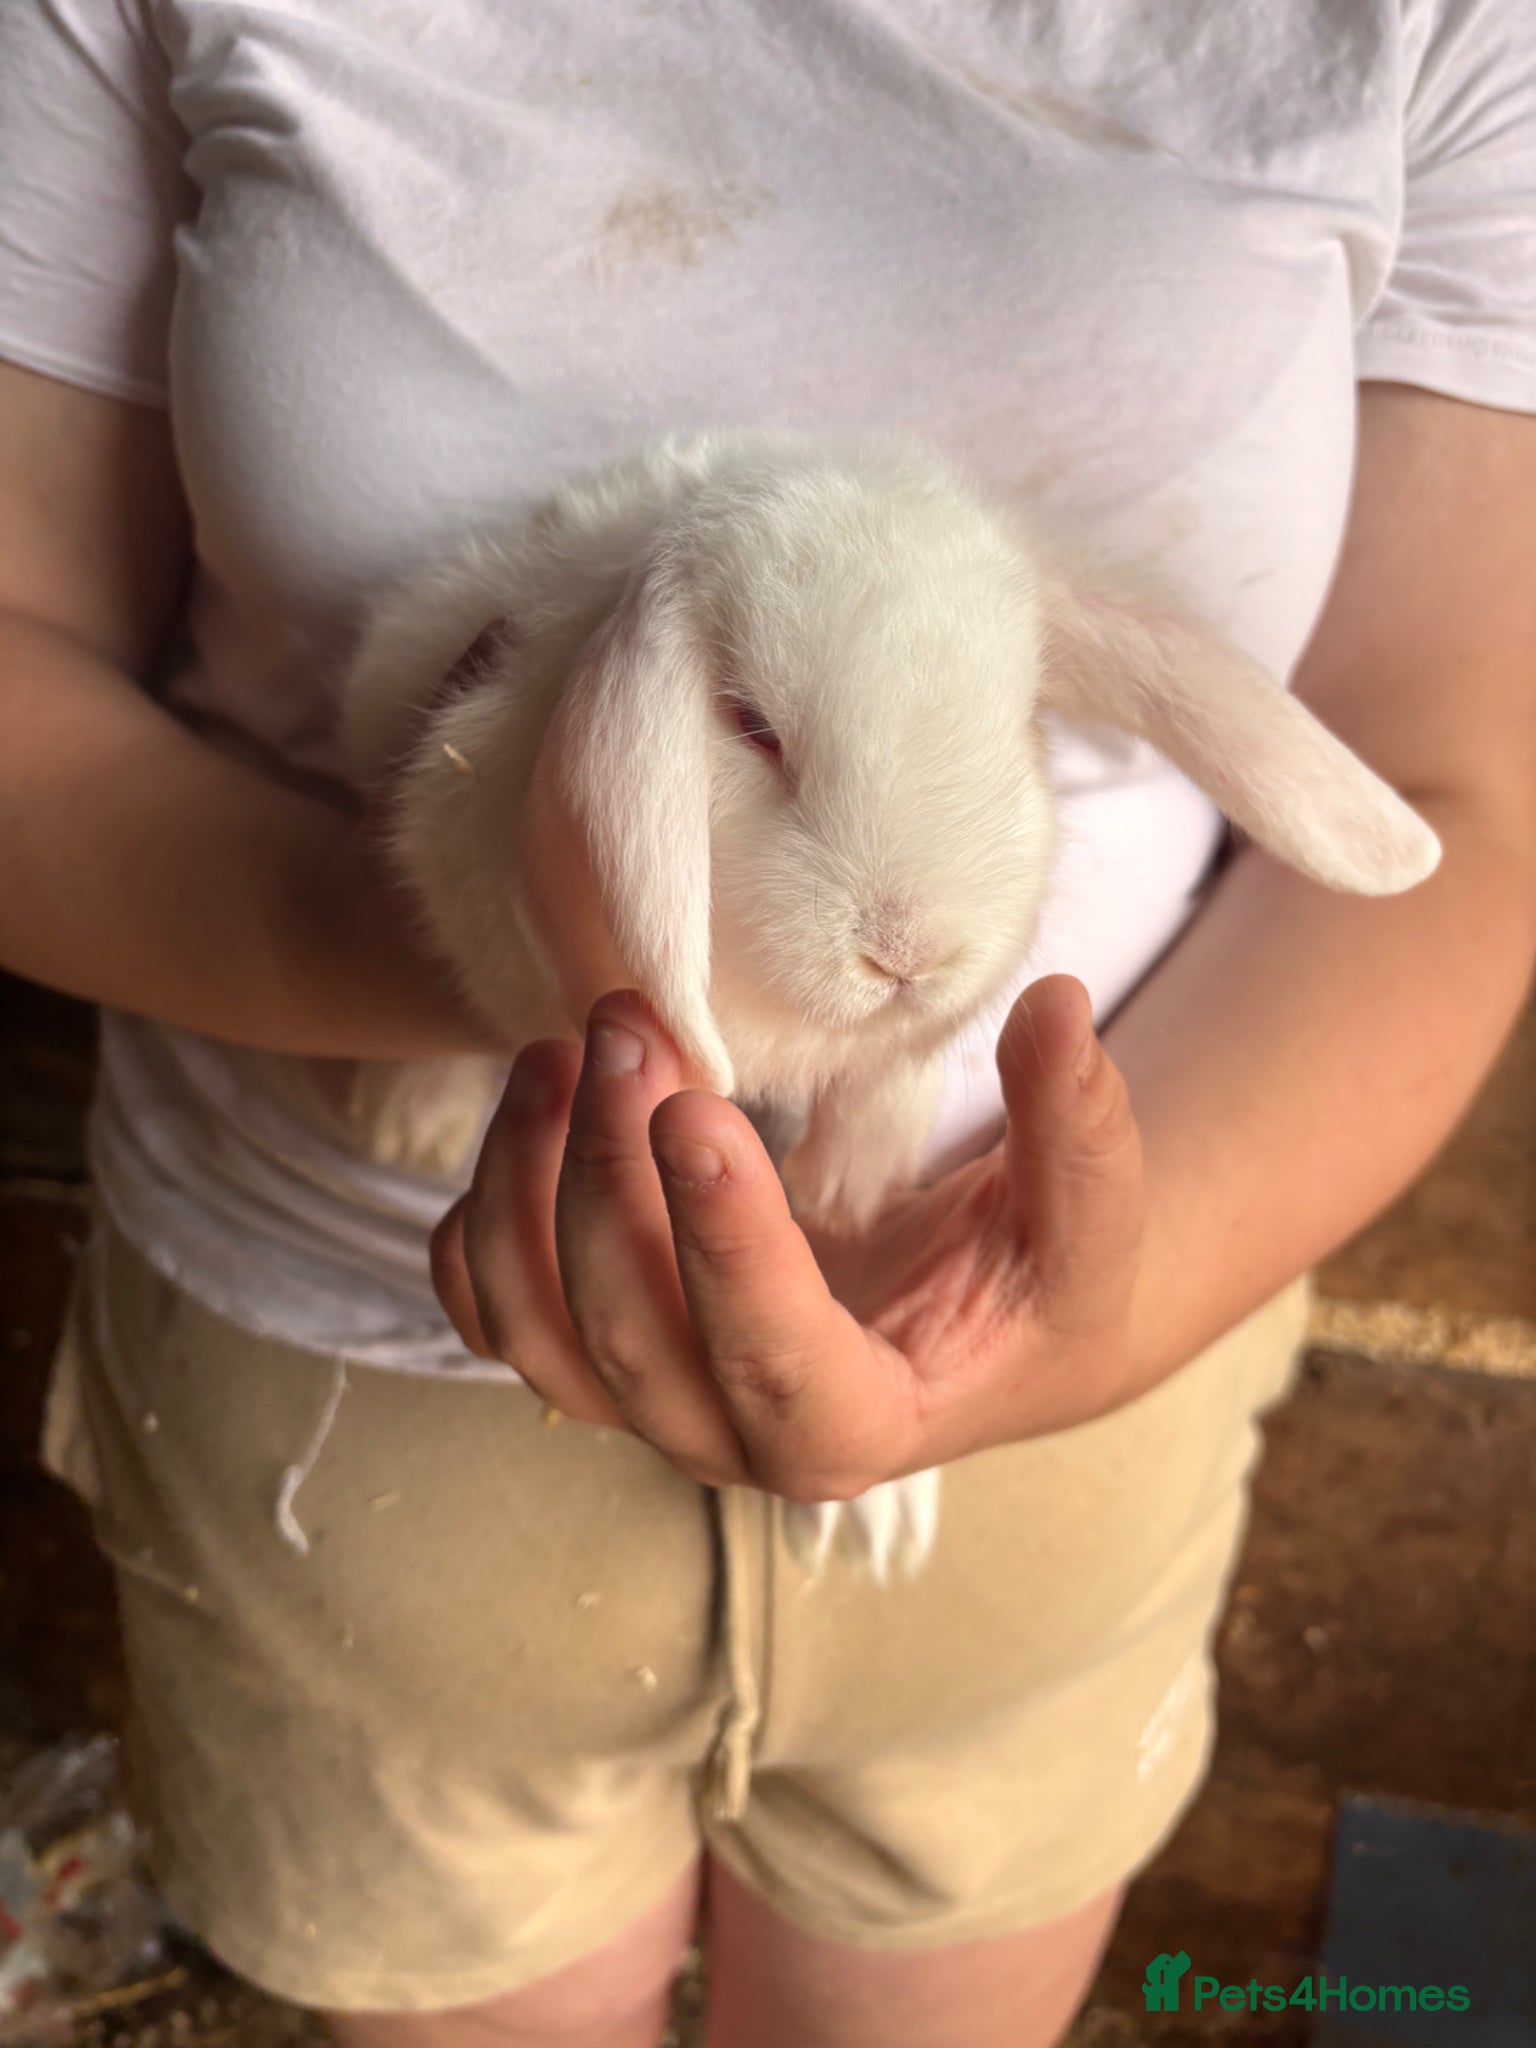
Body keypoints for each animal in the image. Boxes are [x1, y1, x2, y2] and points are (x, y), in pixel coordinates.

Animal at [340, 429, 1442, 1583]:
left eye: (1023, 721)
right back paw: (407, 1121)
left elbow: (894, 1071)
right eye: (751, 727)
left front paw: (843, 1192)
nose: (906, 954)